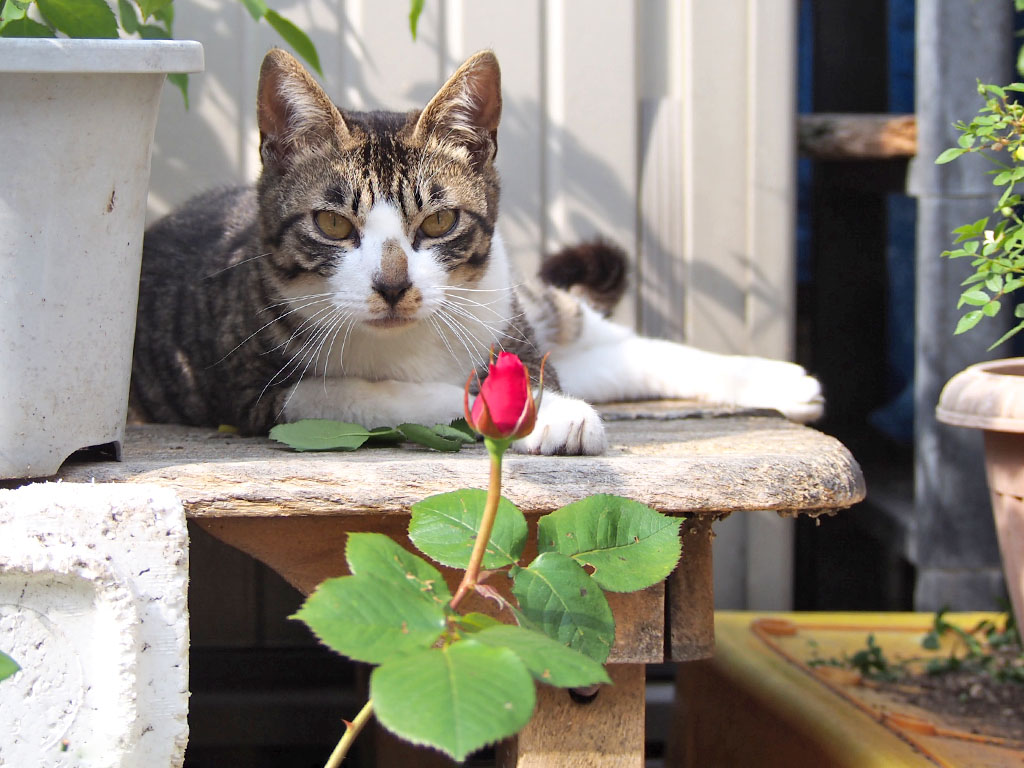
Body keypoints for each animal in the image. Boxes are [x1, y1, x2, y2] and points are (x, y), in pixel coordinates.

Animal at [132, 48, 823, 456]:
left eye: (439, 220)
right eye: (331, 223)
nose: (392, 285)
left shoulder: (508, 326)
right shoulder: (267, 396)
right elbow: (389, 393)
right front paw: (532, 415)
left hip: (525, 304)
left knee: (617, 341)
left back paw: (778, 378)